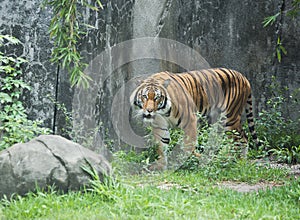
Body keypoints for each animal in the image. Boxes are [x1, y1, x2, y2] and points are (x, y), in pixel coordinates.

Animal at [130, 68, 258, 169]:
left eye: (157, 97)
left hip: (230, 118)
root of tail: (244, 78)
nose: (149, 110)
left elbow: (188, 145)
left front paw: (186, 162)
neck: (163, 111)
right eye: (145, 96)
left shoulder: (190, 121)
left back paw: (235, 161)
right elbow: (162, 146)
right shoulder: (160, 126)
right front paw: (161, 167)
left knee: (241, 139)